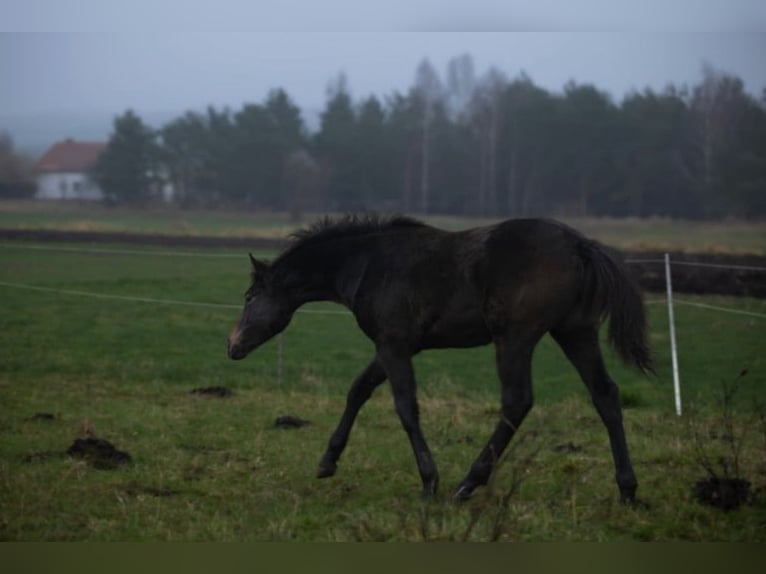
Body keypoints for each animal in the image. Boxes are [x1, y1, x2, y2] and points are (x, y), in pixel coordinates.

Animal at [226, 214, 652, 502]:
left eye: (249, 297)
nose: (232, 346)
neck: (366, 264)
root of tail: (581, 245)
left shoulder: (394, 345)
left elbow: (405, 407)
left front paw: (429, 482)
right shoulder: (395, 346)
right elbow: (358, 390)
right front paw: (327, 462)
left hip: (515, 338)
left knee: (517, 401)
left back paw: (467, 484)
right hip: (575, 332)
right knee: (605, 394)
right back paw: (627, 489)